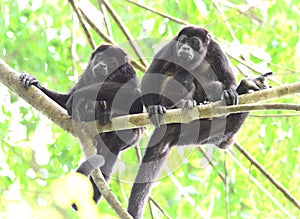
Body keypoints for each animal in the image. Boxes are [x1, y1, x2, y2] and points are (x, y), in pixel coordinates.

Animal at [20, 43, 144, 208]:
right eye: (101, 57)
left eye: (111, 62)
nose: (102, 65)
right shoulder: (86, 75)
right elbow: (65, 98)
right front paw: (35, 82)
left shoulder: (127, 70)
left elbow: (133, 92)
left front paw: (79, 97)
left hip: (133, 134)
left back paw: (107, 112)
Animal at [126, 25, 272, 217]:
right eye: (183, 41)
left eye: (194, 42)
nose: (185, 48)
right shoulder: (170, 47)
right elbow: (151, 77)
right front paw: (153, 108)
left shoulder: (216, 50)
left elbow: (227, 79)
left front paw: (232, 91)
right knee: (184, 75)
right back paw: (179, 105)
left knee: (222, 118)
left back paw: (241, 89)